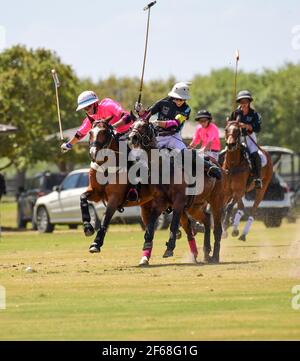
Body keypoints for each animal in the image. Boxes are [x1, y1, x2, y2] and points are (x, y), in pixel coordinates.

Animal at [127, 119, 226, 262]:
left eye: (144, 126)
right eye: (131, 126)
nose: (132, 138)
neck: (162, 168)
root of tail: (217, 163)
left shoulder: (178, 202)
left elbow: (173, 225)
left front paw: (169, 248)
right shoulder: (160, 203)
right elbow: (150, 226)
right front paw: (146, 250)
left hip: (216, 200)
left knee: (217, 228)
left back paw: (215, 256)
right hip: (194, 206)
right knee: (207, 219)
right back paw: (207, 252)